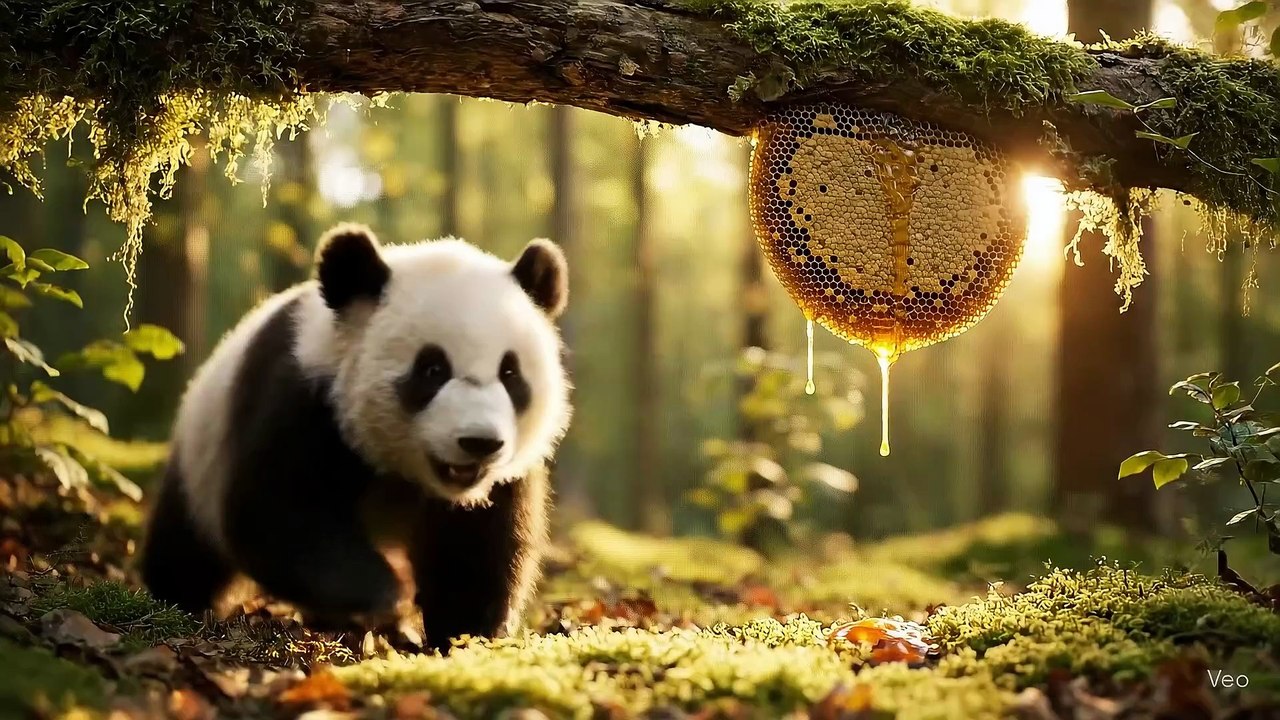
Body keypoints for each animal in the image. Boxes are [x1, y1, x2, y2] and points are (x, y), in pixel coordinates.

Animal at [140, 223, 572, 653]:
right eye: (432, 369)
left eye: (510, 373)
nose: (479, 442)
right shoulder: (306, 400)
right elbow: (278, 514)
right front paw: (387, 597)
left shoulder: (498, 482)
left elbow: (475, 549)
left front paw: (464, 636)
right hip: (201, 454)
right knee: (186, 546)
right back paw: (181, 598)